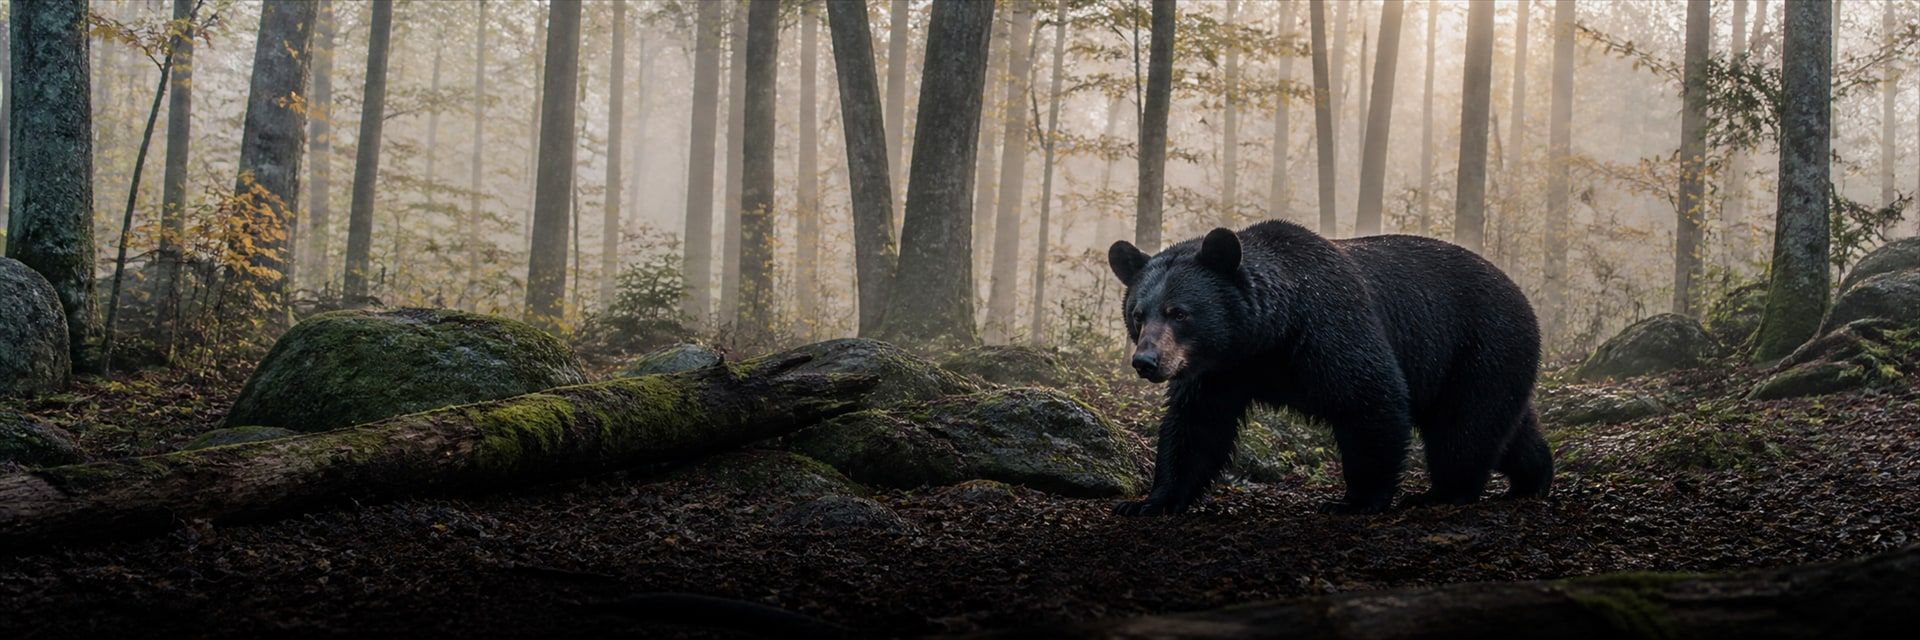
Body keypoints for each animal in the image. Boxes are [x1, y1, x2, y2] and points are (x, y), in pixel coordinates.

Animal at [1107, 221, 1553, 515]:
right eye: (1138, 314)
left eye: (1179, 312)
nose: (1146, 361)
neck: (1268, 334)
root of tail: (1522, 296)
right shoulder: (1221, 371)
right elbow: (1195, 427)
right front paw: (1151, 501)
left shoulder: (1329, 328)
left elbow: (1370, 398)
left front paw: (1357, 500)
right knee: (1506, 426)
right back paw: (1533, 477)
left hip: (1478, 344)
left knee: (1464, 426)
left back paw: (1443, 493)